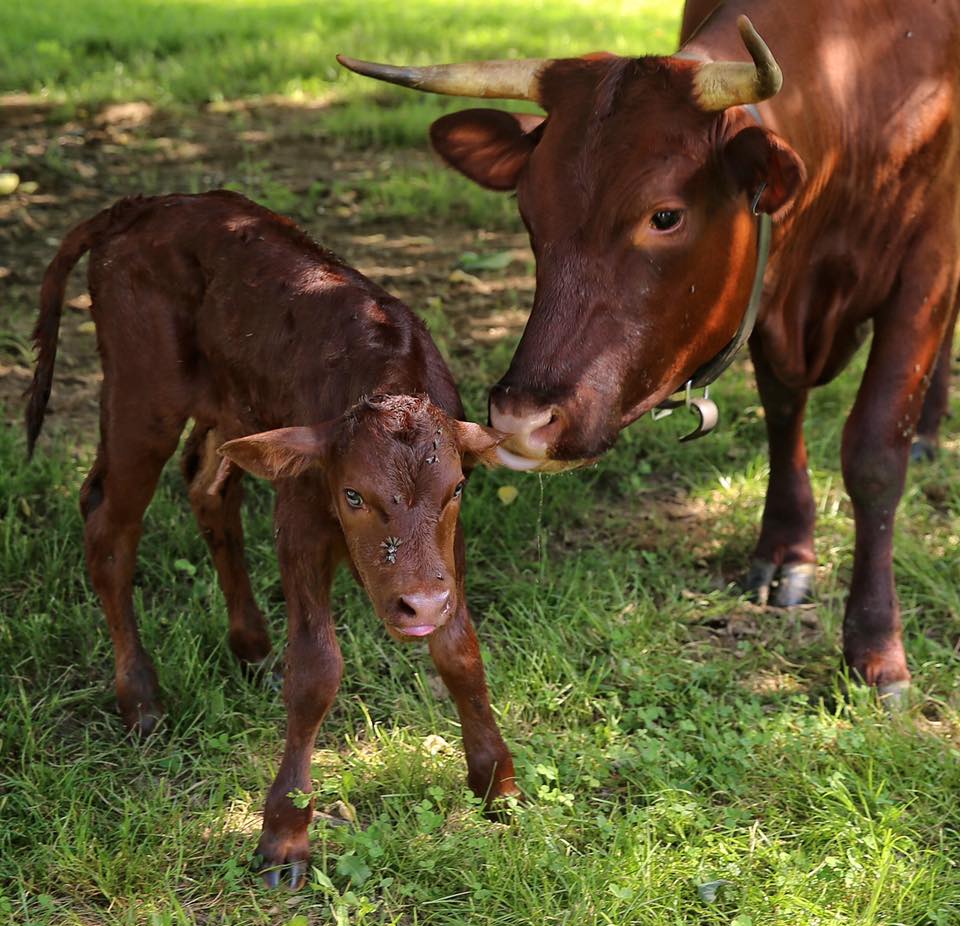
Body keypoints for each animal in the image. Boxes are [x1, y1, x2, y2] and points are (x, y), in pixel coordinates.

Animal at [26, 191, 520, 887]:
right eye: (353, 495)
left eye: (454, 490)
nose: (418, 605)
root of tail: (148, 203)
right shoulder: (301, 523)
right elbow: (316, 671)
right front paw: (285, 835)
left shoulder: (449, 554)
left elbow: (460, 652)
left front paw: (496, 783)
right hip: (139, 396)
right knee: (109, 525)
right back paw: (141, 699)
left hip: (230, 410)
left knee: (206, 486)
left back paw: (252, 647)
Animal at [339, 2, 960, 702]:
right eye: (528, 211)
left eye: (665, 217)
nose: (522, 419)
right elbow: (782, 411)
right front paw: (785, 549)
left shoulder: (929, 262)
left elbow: (876, 453)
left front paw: (877, 649)